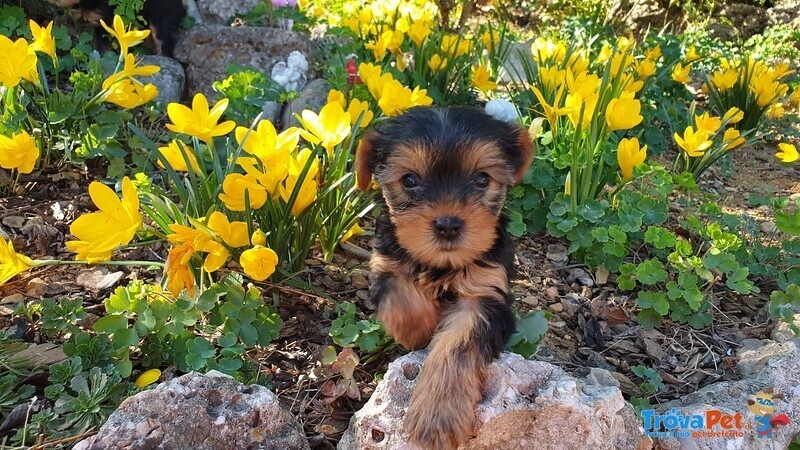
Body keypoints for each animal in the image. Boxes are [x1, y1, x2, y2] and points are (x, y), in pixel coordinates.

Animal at [354, 107, 532, 448]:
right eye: (409, 180)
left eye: (482, 179)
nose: (448, 225)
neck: (442, 265)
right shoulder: (386, 262)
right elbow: (401, 294)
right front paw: (419, 328)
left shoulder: (486, 292)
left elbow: (458, 341)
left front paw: (437, 416)